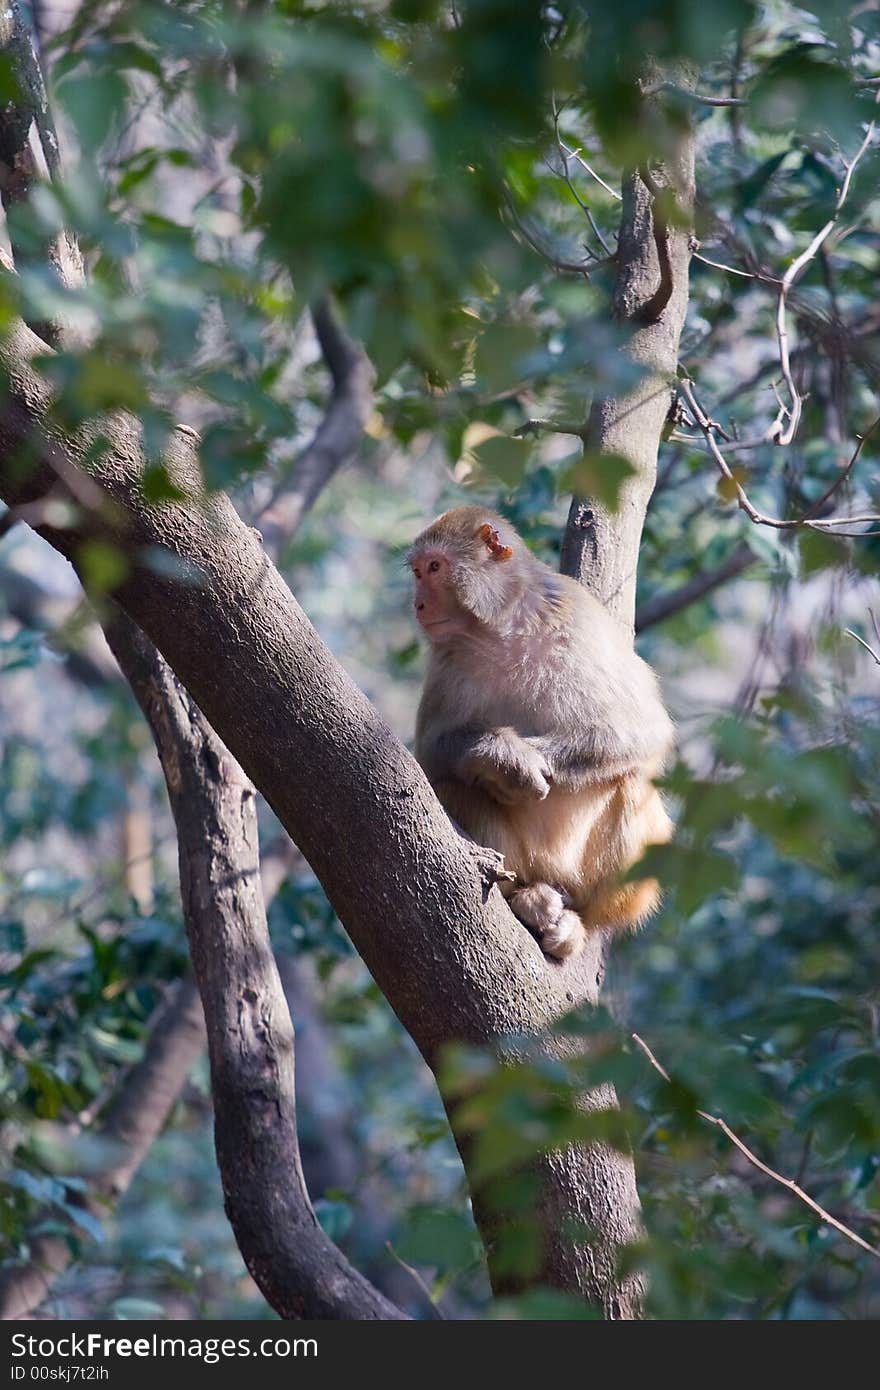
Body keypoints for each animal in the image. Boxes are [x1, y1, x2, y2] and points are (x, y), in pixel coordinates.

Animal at [405, 505, 672, 961]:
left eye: (435, 568)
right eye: (418, 572)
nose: (419, 604)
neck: (501, 629)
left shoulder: (577, 617)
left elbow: (643, 729)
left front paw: (522, 762)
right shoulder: (446, 659)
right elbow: (432, 754)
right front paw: (504, 759)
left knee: (634, 778)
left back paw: (579, 920)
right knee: (454, 785)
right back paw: (529, 900)